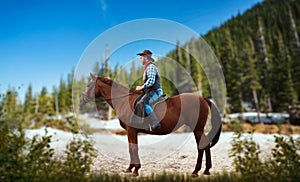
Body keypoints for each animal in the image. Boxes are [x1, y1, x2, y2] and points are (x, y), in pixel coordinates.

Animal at [80, 73, 223, 177]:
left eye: (89, 85)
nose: (82, 99)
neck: (124, 101)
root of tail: (202, 98)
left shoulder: (131, 130)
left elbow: (133, 149)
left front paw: (135, 170)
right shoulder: (130, 131)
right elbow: (131, 148)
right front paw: (130, 168)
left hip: (197, 128)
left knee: (201, 146)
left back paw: (196, 171)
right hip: (199, 129)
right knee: (206, 145)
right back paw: (206, 170)